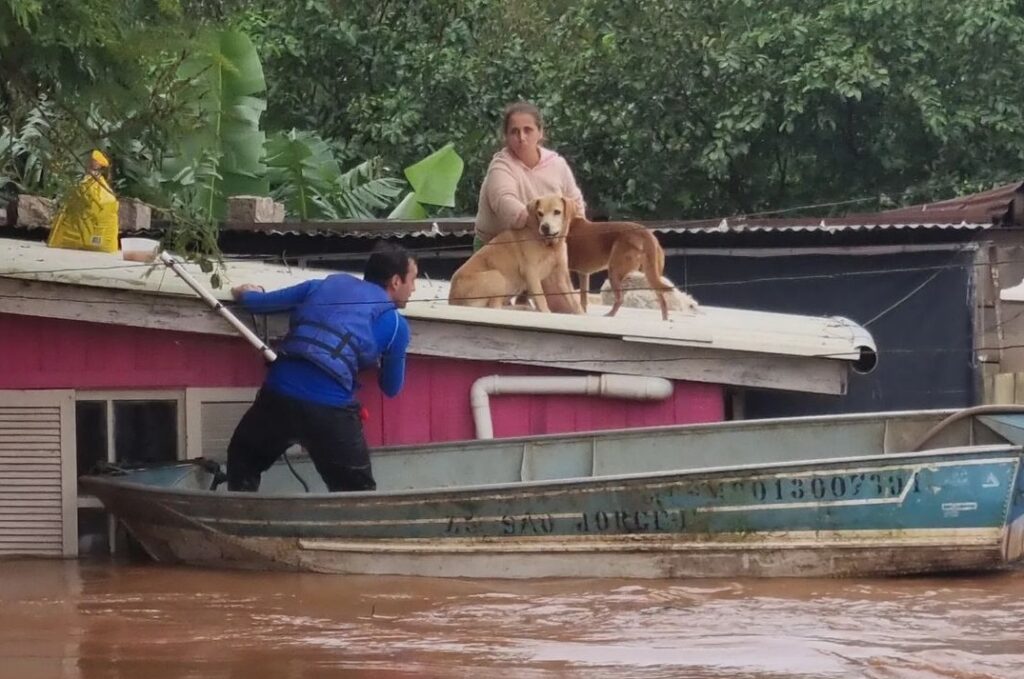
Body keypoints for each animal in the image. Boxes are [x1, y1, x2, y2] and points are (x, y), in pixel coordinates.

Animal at [450, 195, 585, 315]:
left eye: (557, 212)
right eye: (540, 213)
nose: (545, 227)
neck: (550, 246)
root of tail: (452, 300)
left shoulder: (562, 276)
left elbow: (574, 301)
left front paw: (581, 314)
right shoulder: (531, 271)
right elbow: (541, 297)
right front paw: (546, 312)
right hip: (497, 276)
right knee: (495, 307)